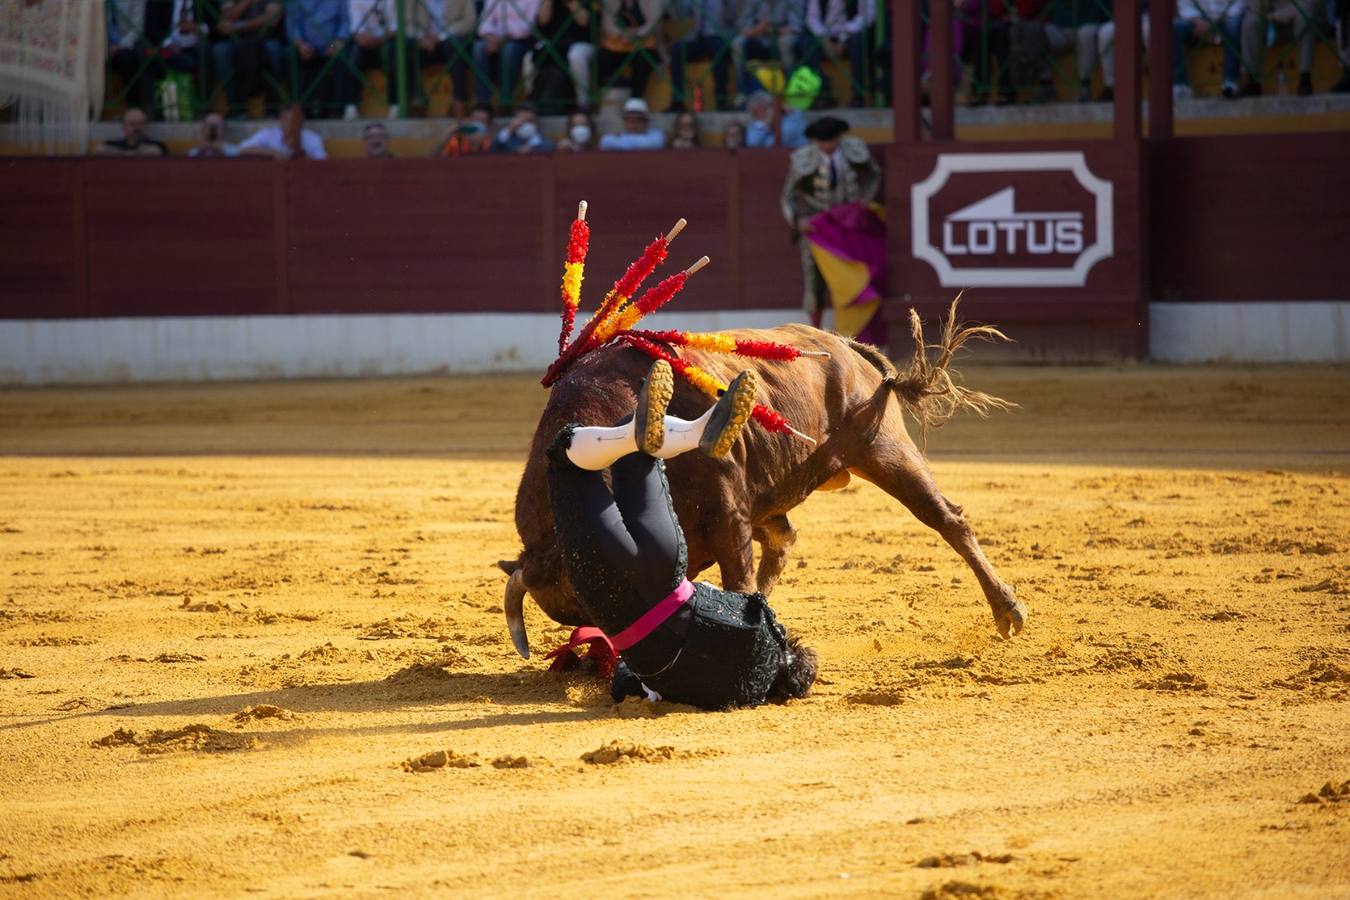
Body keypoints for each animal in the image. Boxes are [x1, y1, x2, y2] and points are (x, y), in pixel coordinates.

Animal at [496, 306, 1020, 658]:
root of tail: (846, 346)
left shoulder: (728, 514)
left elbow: (738, 573)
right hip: (774, 489)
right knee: (784, 538)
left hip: (884, 448)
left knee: (945, 518)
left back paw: (1008, 610)